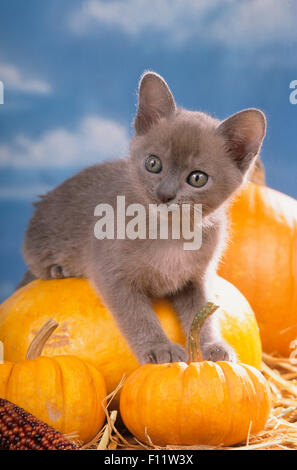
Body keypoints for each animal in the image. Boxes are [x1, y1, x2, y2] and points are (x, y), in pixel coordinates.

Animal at [21, 72, 266, 364]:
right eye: (153, 163)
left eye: (197, 178)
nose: (165, 194)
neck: (171, 234)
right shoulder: (112, 274)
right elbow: (138, 315)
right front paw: (159, 348)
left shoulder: (197, 277)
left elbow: (203, 312)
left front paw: (210, 346)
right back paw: (58, 269)